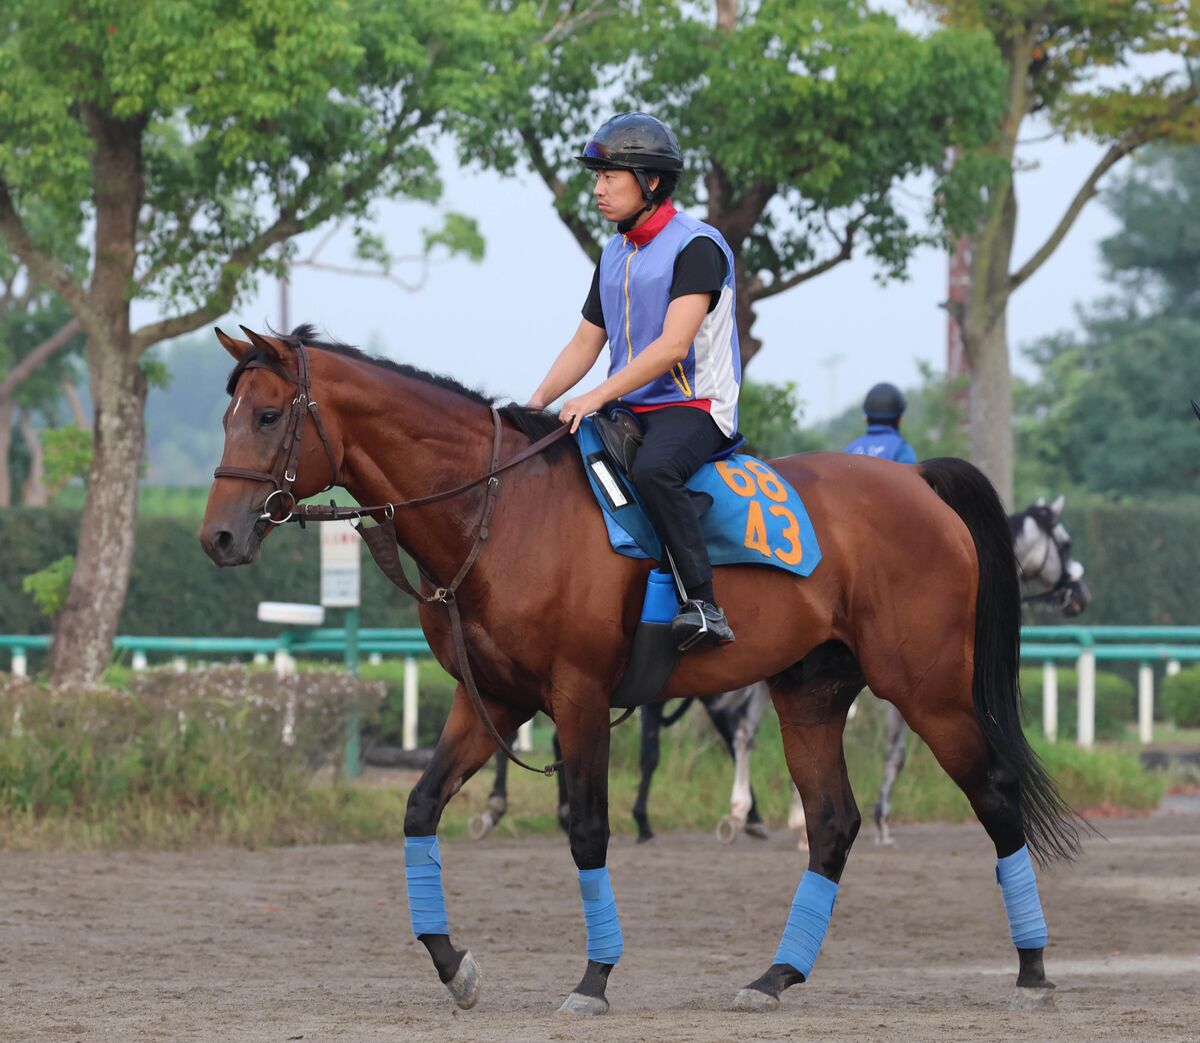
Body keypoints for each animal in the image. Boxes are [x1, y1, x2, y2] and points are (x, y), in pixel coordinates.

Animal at [201, 325, 1078, 1016]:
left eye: (269, 414)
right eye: (228, 414)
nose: (217, 537)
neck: (501, 510)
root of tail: (916, 483)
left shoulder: (579, 695)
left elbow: (587, 826)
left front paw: (594, 977)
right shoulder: (492, 699)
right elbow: (421, 807)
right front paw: (455, 965)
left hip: (928, 690)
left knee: (994, 794)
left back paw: (1034, 969)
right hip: (811, 692)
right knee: (832, 822)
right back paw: (776, 974)